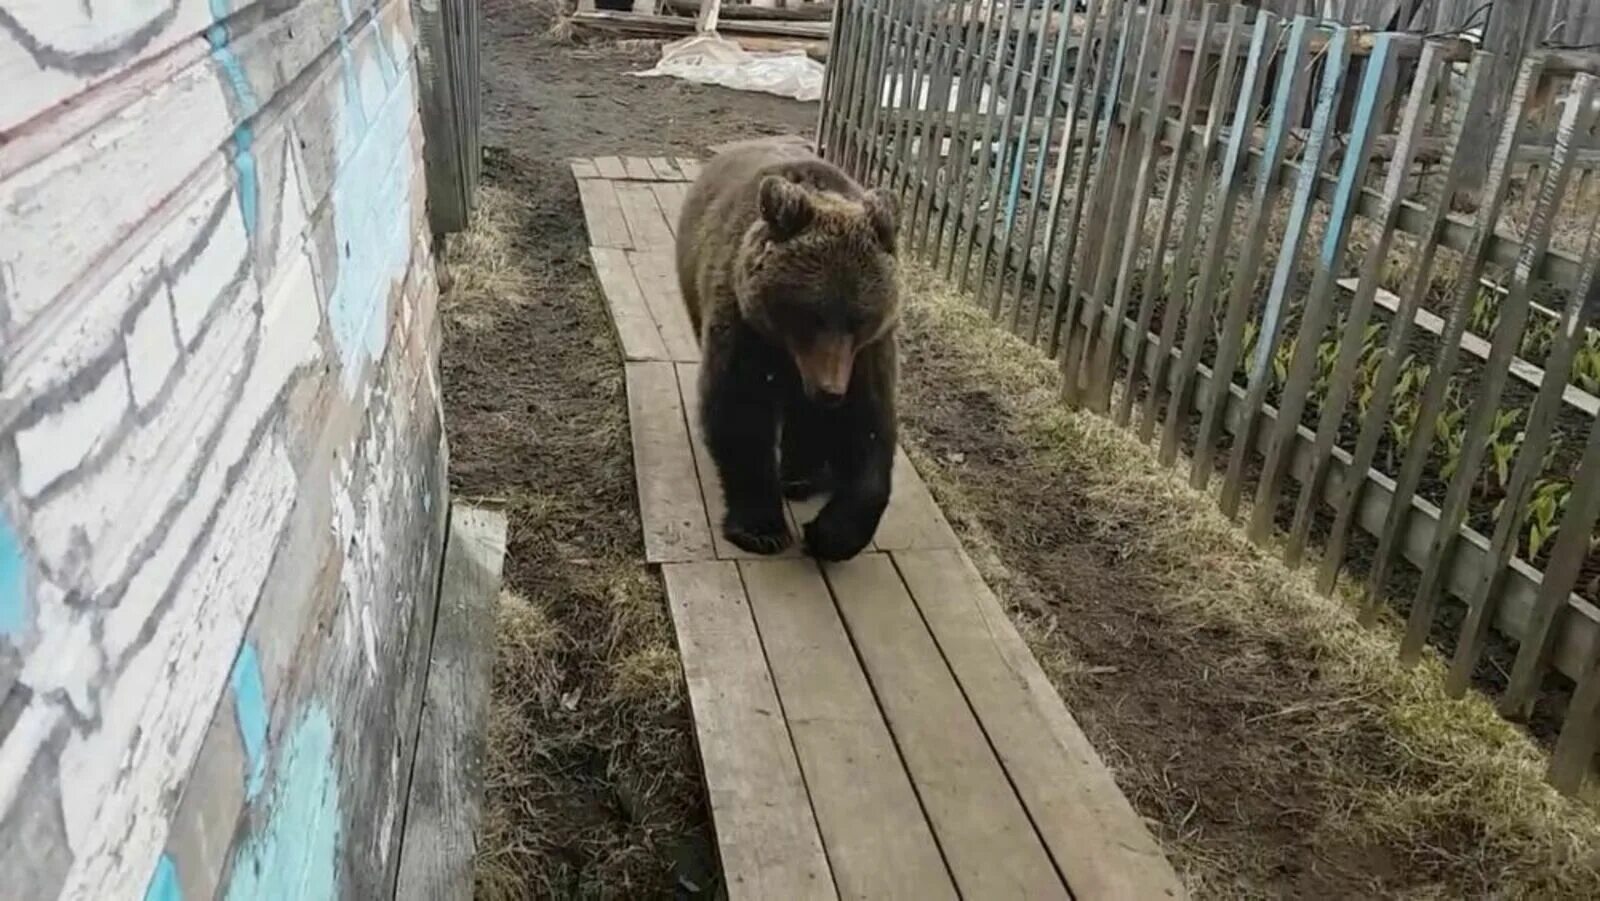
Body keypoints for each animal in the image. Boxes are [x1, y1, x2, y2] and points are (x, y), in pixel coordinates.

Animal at [675, 141, 902, 560]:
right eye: (811, 314)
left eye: (860, 318)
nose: (830, 390)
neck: (787, 348)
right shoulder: (744, 328)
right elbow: (740, 409)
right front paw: (761, 529)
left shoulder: (866, 353)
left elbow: (869, 424)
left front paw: (831, 534)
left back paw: (801, 475)